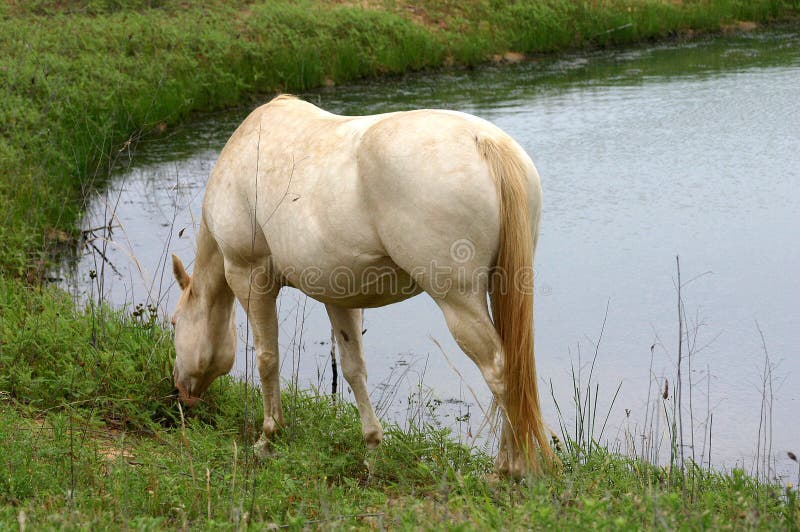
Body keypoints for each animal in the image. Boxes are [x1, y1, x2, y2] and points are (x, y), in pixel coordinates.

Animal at [170, 93, 556, 476]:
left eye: (173, 324)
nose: (179, 395)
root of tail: (484, 142)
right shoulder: (338, 297)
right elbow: (353, 369)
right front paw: (371, 448)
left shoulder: (249, 277)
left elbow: (267, 358)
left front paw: (267, 438)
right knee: (513, 371)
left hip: (458, 301)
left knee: (499, 371)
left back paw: (507, 470)